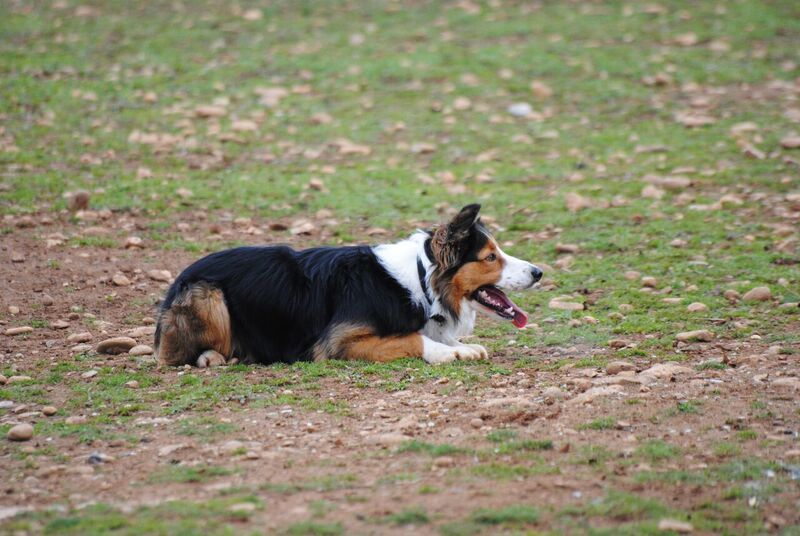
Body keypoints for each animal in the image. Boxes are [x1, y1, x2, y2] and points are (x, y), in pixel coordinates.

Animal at [154, 204, 541, 367]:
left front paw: (459, 345)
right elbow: (412, 338)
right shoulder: (339, 341)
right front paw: (448, 352)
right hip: (208, 295)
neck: (421, 282)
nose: (539, 272)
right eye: (490, 257)